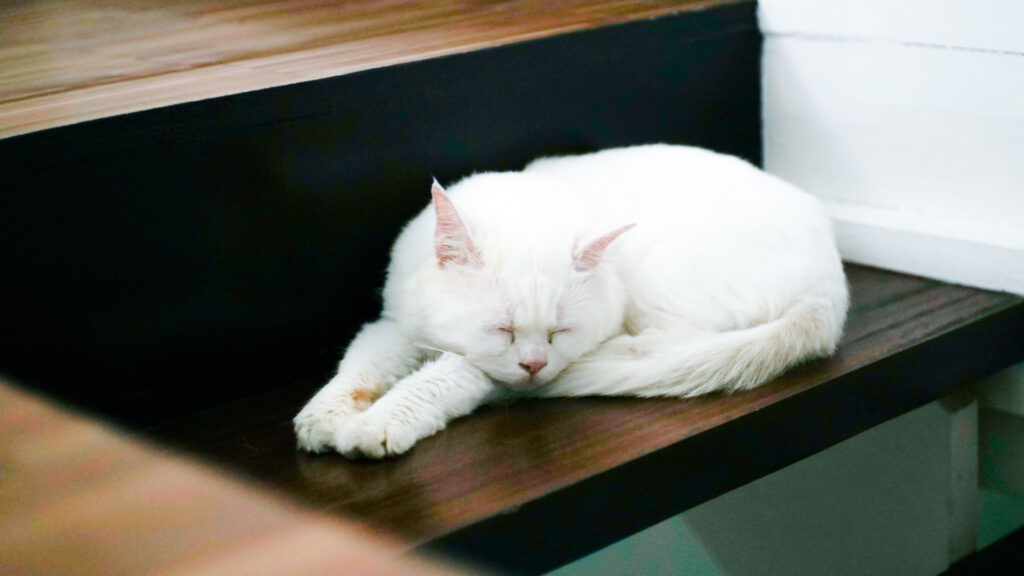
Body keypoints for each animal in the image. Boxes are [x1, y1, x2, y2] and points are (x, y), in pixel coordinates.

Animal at [294, 143, 847, 457]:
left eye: (560, 332)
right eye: (501, 329)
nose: (536, 365)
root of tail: (832, 285)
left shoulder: (482, 368)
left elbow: (433, 381)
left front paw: (376, 426)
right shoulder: (392, 325)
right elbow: (358, 369)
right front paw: (322, 418)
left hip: (659, 273)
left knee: (671, 345)